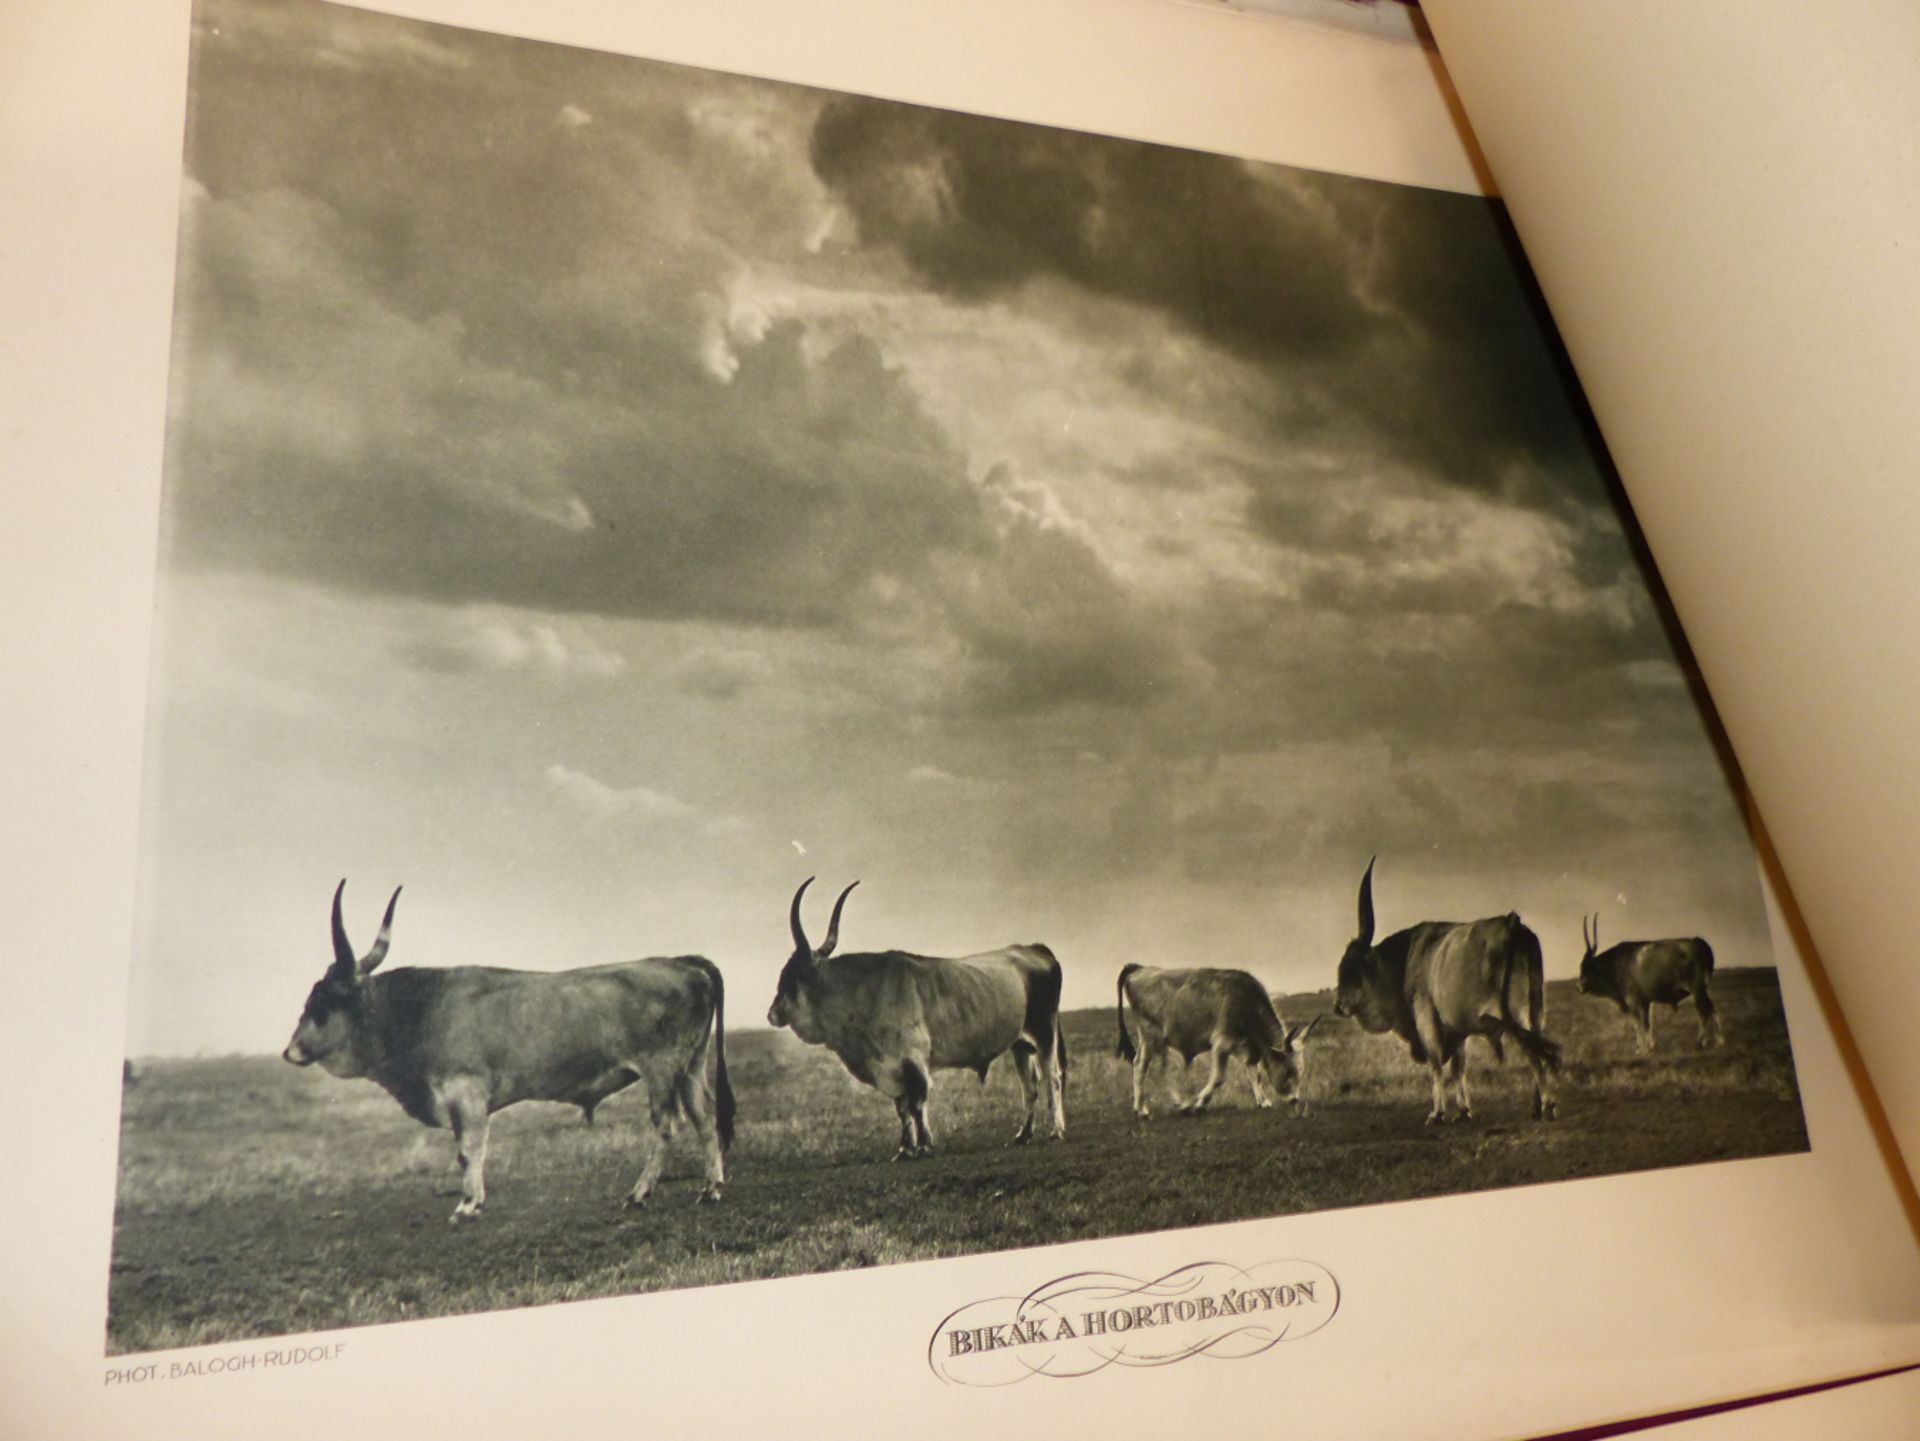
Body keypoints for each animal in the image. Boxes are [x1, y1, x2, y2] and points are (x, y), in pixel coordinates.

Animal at [282, 886, 733, 1220]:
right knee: (705, 1117)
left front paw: (468, 1204)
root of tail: (680, 962)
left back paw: (640, 1193)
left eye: (323, 1003)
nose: (290, 1051)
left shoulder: (466, 1092)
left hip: (662, 1069)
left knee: (667, 1125)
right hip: (691, 1065)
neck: (419, 1007)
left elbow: (469, 1149)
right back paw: (711, 1188)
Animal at [764, 878, 1067, 1158]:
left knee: (1052, 1077)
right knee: (1030, 1085)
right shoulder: (892, 1067)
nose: (771, 1014)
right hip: (1020, 1044)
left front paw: (924, 1145)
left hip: (1044, 1032)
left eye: (791, 977)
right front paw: (905, 1148)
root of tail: (1033, 949)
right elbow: (902, 1108)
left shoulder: (914, 1059)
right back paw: (1023, 1134)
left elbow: (918, 1104)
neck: (863, 990)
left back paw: (1056, 1131)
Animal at [1113, 970, 1320, 1128]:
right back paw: (1145, 1110)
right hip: (1151, 1036)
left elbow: (1254, 1075)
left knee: (1153, 1068)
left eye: (1301, 1071)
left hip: (1157, 1040)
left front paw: (1263, 1101)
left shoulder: (1247, 1048)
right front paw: (1200, 1103)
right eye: (1288, 1071)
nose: (1295, 1100)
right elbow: (1219, 1078)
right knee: (1143, 1067)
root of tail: (1139, 970)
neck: (1247, 1002)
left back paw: (1170, 1104)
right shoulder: (1221, 1044)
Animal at [1336, 855, 1559, 1128]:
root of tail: (1512, 923)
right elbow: (1458, 1067)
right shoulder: (1457, 1026)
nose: (1338, 1005)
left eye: (1351, 968)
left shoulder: (1425, 1016)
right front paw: (1463, 1110)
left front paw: (1437, 1113)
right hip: (1536, 1009)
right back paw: (1537, 1107)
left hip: (1518, 1012)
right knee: (1538, 1048)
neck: (1407, 957)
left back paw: (1548, 1106)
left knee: (1533, 1054)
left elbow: (1435, 1063)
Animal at [1574, 917, 1728, 1051]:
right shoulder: (1645, 1002)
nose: (1579, 987)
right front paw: (1651, 1047)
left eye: (1586, 967)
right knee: (1711, 1010)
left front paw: (1641, 1049)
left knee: (1704, 1013)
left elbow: (1638, 1024)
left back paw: (1701, 1043)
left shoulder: (1633, 1001)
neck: (1616, 962)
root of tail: (1698, 941)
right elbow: (1647, 1024)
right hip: (1701, 990)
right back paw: (1718, 1042)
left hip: (1697, 990)